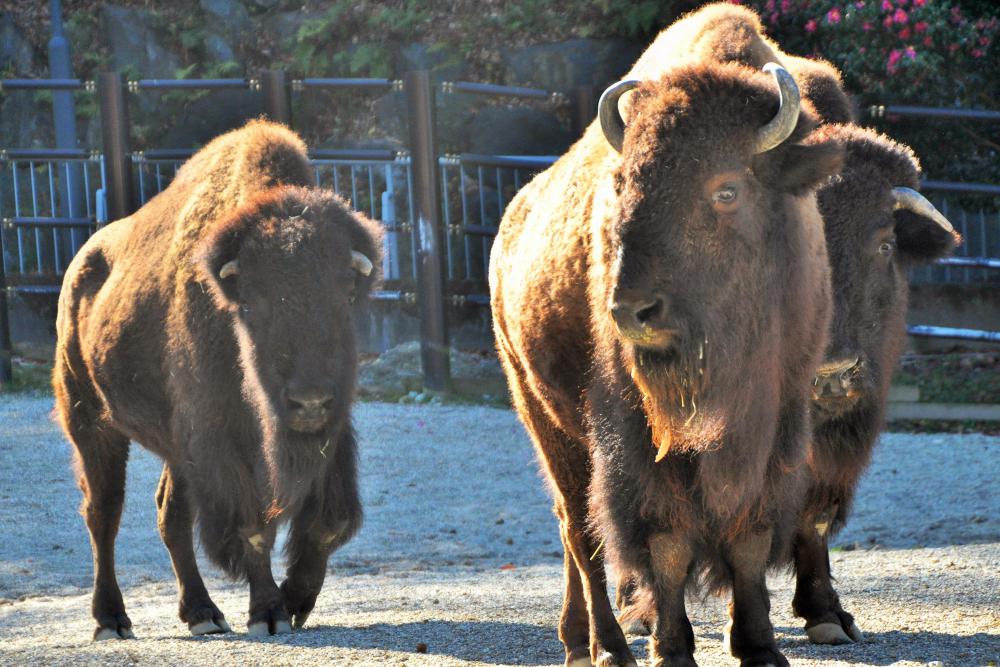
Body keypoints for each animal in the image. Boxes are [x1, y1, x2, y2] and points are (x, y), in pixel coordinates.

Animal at [54, 121, 382, 640]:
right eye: (252, 304)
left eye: (344, 296)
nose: (308, 401)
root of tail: (82, 265)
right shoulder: (221, 434)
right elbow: (253, 527)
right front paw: (268, 613)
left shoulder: (332, 433)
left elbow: (329, 520)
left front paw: (295, 600)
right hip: (88, 419)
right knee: (103, 511)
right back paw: (111, 620)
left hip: (174, 446)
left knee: (169, 513)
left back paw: (203, 613)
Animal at [492, 58, 844, 667]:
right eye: (622, 185)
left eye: (726, 189)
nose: (632, 310)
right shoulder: (639, 440)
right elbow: (668, 541)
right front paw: (672, 647)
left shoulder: (777, 420)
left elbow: (748, 536)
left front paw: (759, 645)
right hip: (543, 416)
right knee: (580, 532)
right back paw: (606, 647)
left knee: (571, 531)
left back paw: (575, 639)